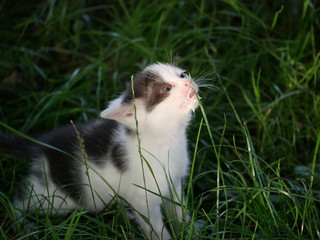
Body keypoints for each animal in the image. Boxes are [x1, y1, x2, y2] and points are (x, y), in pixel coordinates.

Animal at [1, 62, 199, 239]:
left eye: (182, 74)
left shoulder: (174, 182)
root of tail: (41, 143)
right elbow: (155, 228)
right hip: (53, 197)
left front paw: (188, 230)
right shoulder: (143, 199)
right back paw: (22, 223)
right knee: (19, 201)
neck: (166, 138)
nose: (188, 82)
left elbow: (178, 210)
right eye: (166, 88)